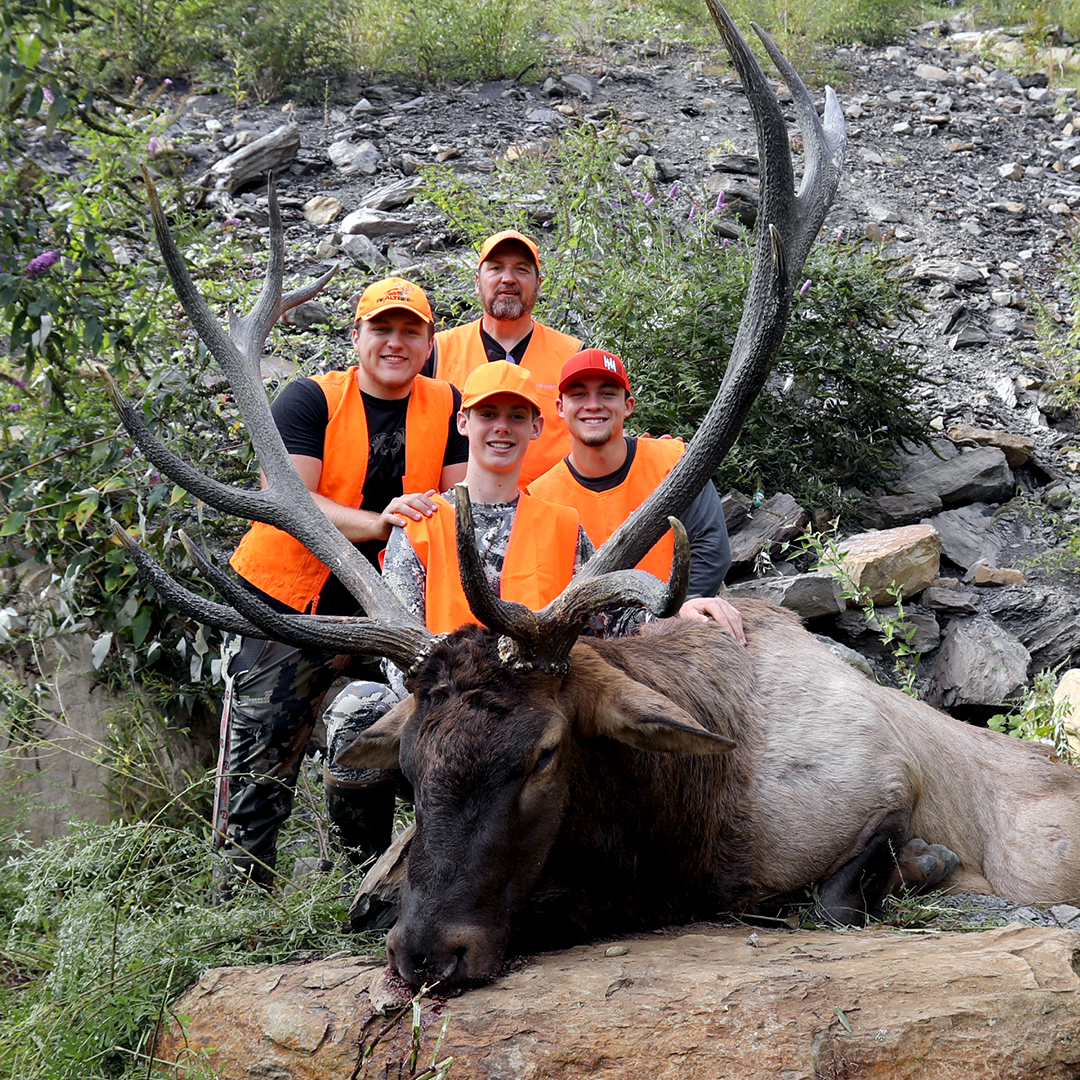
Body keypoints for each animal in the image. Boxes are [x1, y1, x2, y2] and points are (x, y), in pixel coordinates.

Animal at [103, 0, 1080, 992]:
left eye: (544, 753)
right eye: (411, 762)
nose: (425, 954)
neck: (684, 839)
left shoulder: (877, 791)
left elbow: (844, 893)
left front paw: (926, 868)